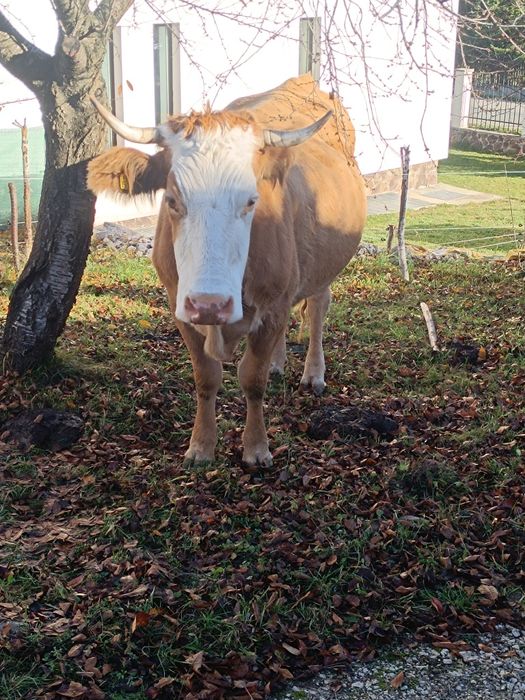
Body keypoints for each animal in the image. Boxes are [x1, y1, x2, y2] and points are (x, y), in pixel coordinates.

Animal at [87, 75, 366, 467]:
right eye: (172, 199)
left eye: (251, 200)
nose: (210, 305)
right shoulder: (180, 305)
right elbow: (206, 376)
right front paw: (201, 446)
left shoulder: (273, 304)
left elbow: (252, 378)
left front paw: (256, 448)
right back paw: (279, 362)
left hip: (322, 269)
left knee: (317, 310)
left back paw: (313, 374)